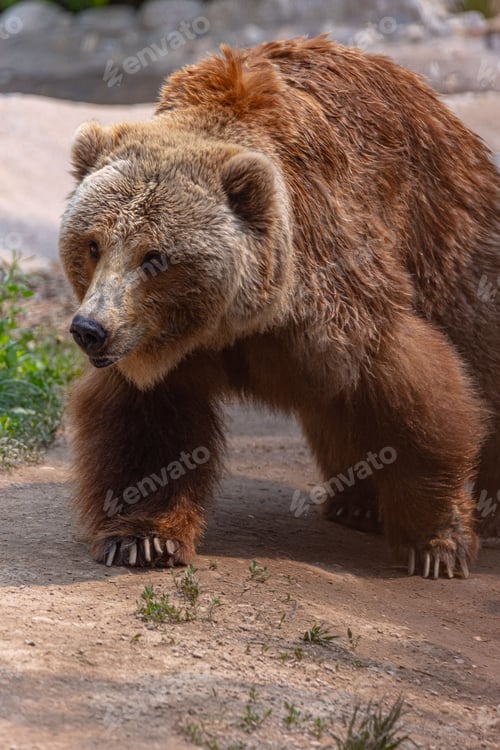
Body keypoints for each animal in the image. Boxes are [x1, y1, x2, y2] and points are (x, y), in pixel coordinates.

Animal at [59, 36, 500, 579]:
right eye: (92, 244)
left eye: (155, 256)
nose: (90, 328)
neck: (234, 320)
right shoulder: (159, 347)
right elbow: (148, 424)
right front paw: (141, 538)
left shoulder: (339, 288)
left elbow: (414, 397)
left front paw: (438, 544)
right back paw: (357, 505)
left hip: (453, 246)